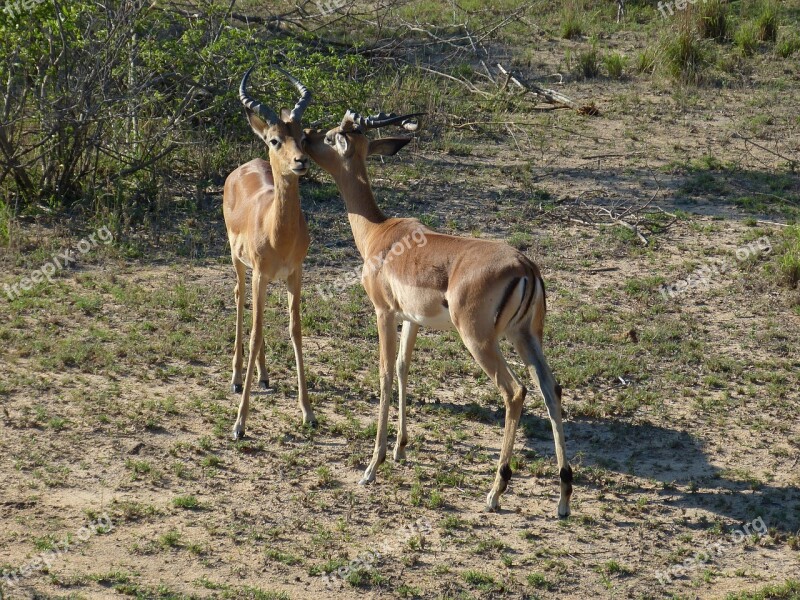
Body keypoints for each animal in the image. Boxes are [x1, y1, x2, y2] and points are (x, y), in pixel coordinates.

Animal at [223, 67, 318, 440]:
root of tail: (243, 166)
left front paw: (308, 412)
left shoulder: (295, 274)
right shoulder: (262, 273)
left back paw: (263, 376)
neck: (279, 232)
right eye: (276, 139)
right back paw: (237, 378)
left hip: (265, 277)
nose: (300, 162)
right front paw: (239, 423)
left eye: (302, 137)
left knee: (257, 318)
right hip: (239, 263)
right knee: (240, 300)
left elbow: (295, 330)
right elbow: (254, 333)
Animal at [304, 109, 572, 516]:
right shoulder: (412, 319)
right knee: (550, 388)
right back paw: (563, 499)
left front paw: (372, 467)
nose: (304, 137)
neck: (379, 233)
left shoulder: (383, 313)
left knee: (514, 392)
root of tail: (525, 266)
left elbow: (384, 374)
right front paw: (400, 449)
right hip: (524, 337)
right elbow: (403, 369)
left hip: (480, 341)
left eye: (334, 136)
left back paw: (496, 491)